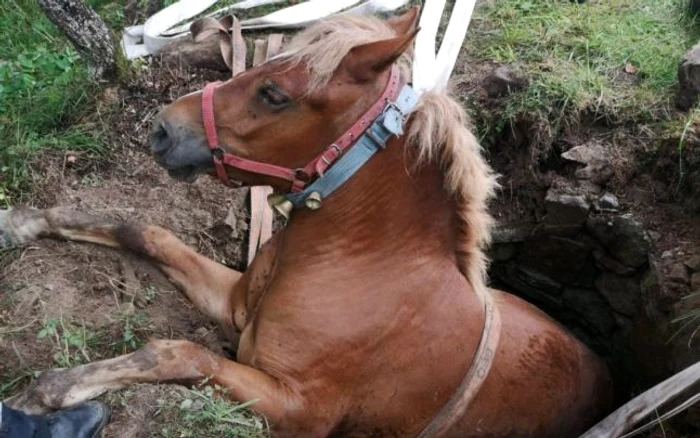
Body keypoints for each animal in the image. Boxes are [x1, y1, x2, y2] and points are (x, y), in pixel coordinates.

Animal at [0, 7, 612, 438]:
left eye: (275, 94)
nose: (162, 129)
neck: (360, 266)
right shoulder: (233, 306)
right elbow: (147, 233)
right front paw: (25, 221)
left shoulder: (299, 409)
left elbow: (178, 352)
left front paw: (52, 389)